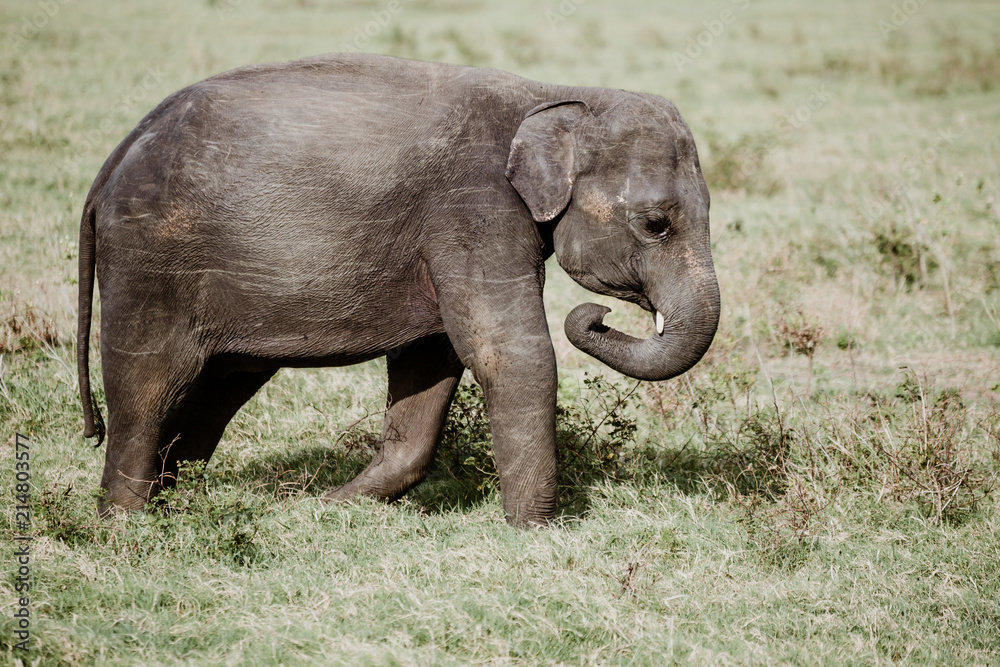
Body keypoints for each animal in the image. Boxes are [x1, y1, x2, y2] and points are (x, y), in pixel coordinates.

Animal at [77, 53, 720, 527]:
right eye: (656, 224)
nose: (595, 315)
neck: (554, 93)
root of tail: (113, 161)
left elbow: (432, 360)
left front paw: (328, 508)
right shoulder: (474, 207)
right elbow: (508, 353)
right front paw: (536, 532)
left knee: (215, 388)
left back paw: (178, 503)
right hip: (149, 265)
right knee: (149, 387)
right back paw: (125, 526)